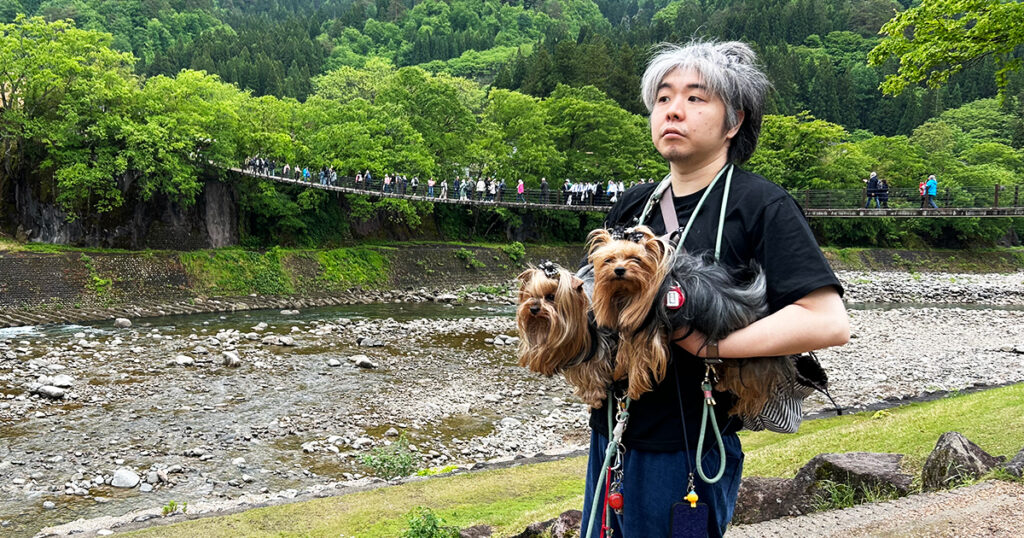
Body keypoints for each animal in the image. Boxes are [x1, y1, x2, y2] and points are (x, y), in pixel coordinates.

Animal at [516, 261, 610, 407]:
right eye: (530, 295)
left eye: (551, 297)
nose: (533, 309)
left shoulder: (597, 346)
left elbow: (592, 368)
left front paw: (594, 396)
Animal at [589, 225, 675, 397]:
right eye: (609, 260)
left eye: (636, 259)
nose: (619, 270)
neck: (626, 293)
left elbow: (641, 359)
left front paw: (635, 387)